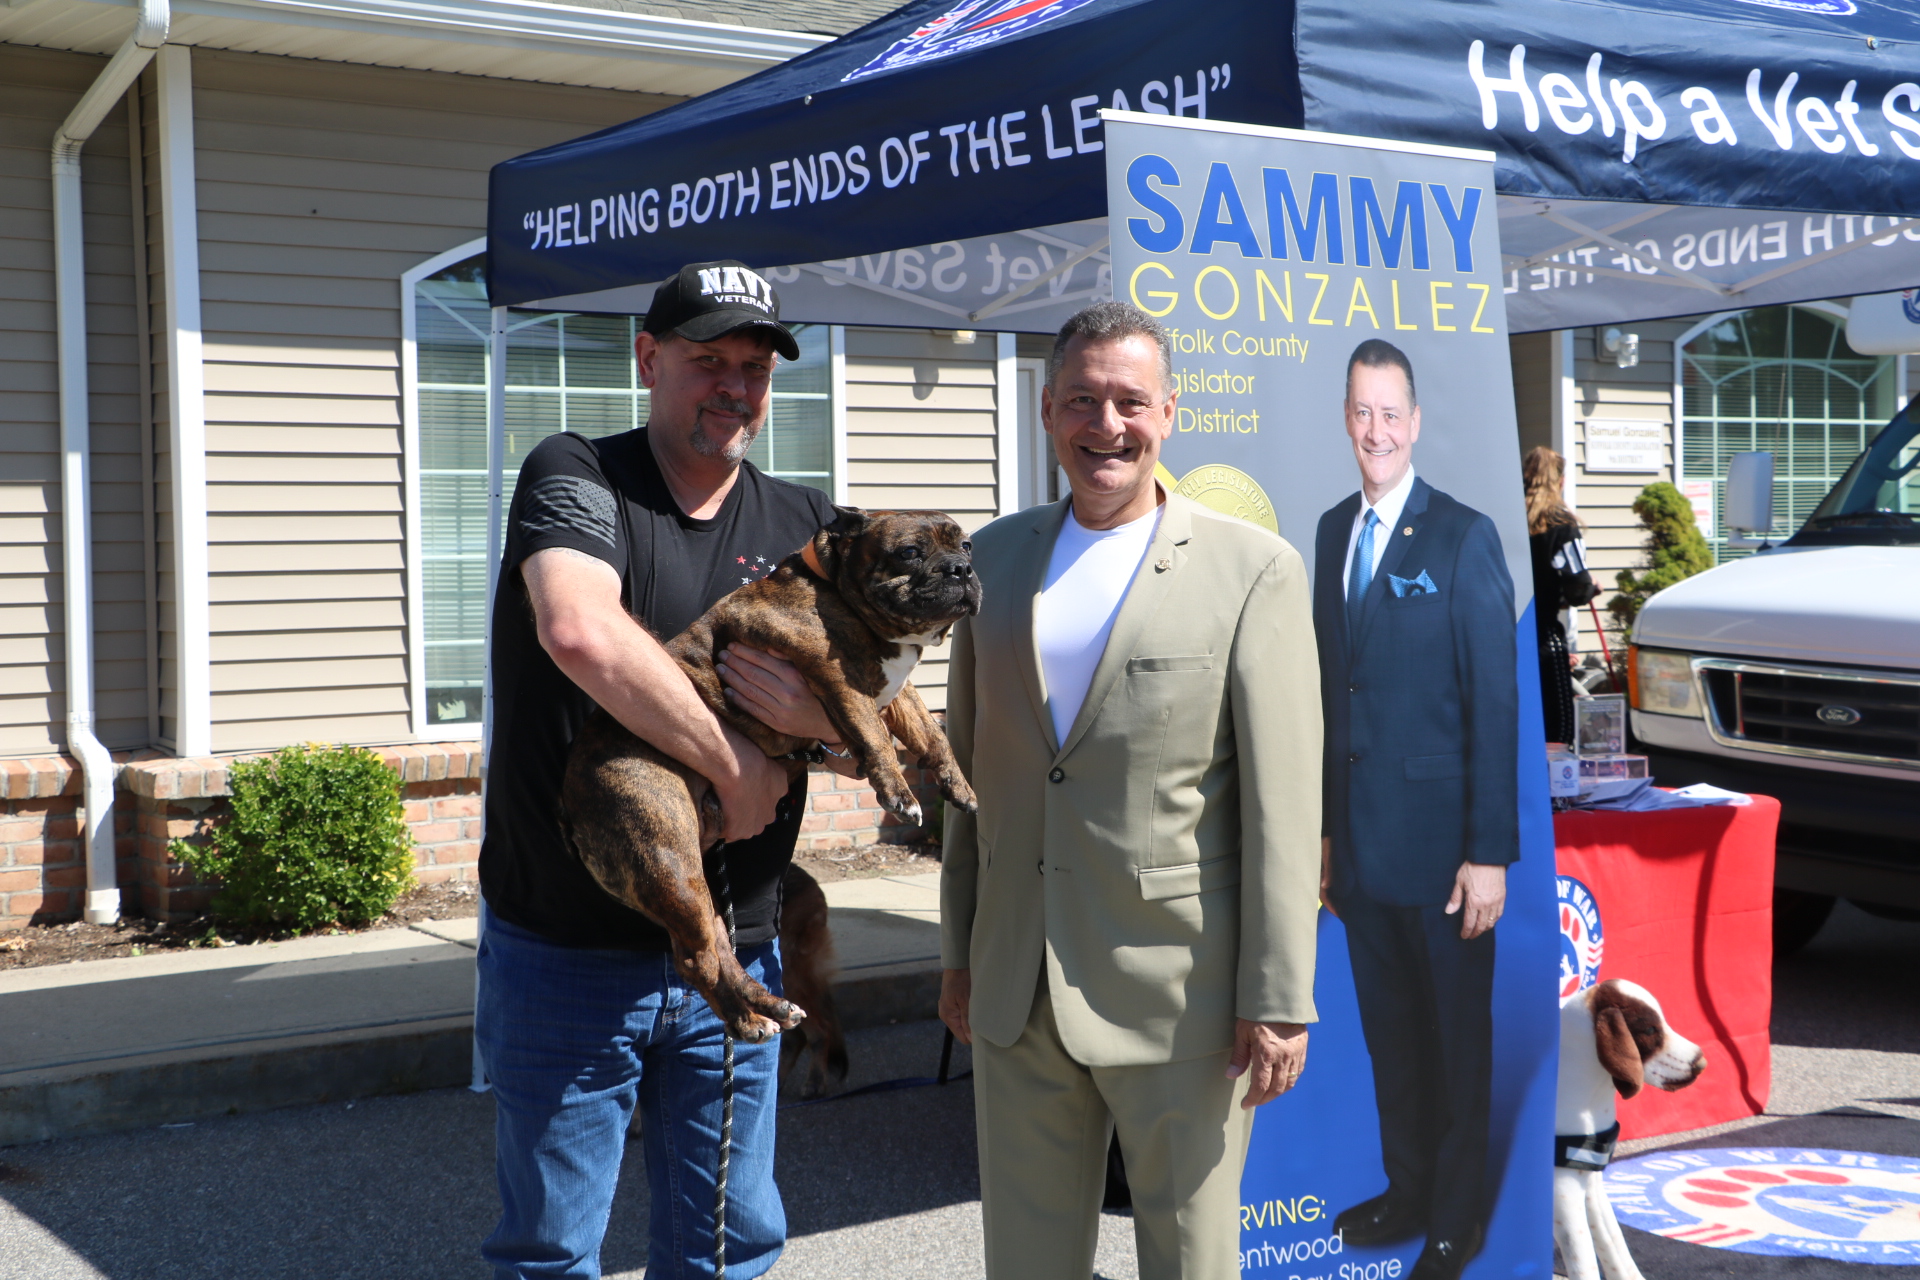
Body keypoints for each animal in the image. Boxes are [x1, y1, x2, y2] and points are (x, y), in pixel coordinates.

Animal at [556, 506, 975, 1043]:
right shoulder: (839, 678)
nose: (961, 569)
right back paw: (747, 1017)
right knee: (696, 959)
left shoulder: (893, 691)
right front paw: (899, 794)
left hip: (684, 881)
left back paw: (763, 1010)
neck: (835, 590)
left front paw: (957, 785)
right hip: (666, 855)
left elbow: (930, 734)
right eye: (909, 552)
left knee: (716, 947)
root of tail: (569, 805)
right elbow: (874, 733)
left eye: (966, 545)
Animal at [1559, 982, 1712, 1280]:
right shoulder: (1565, 1192)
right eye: (1650, 1029)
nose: (1701, 1064)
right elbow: (1585, 1262)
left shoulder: (1590, 1182)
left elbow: (1613, 1245)